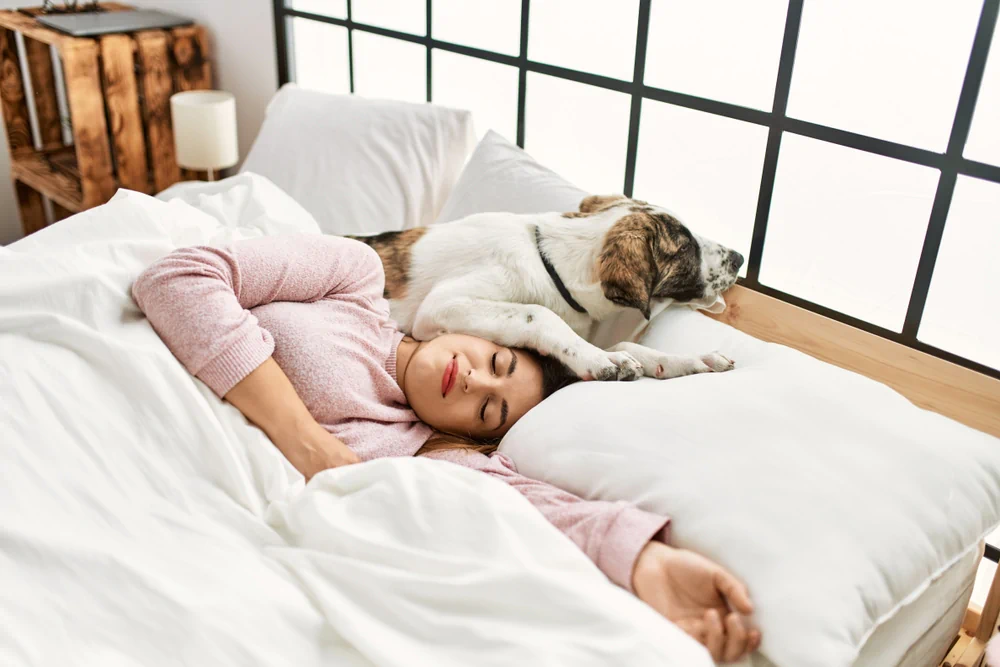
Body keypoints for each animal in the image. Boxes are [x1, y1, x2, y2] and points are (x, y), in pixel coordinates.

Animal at [358, 193, 744, 380]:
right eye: (685, 248)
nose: (739, 258)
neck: (549, 261)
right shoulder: (441, 307)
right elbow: (537, 314)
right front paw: (598, 358)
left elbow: (624, 344)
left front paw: (686, 360)